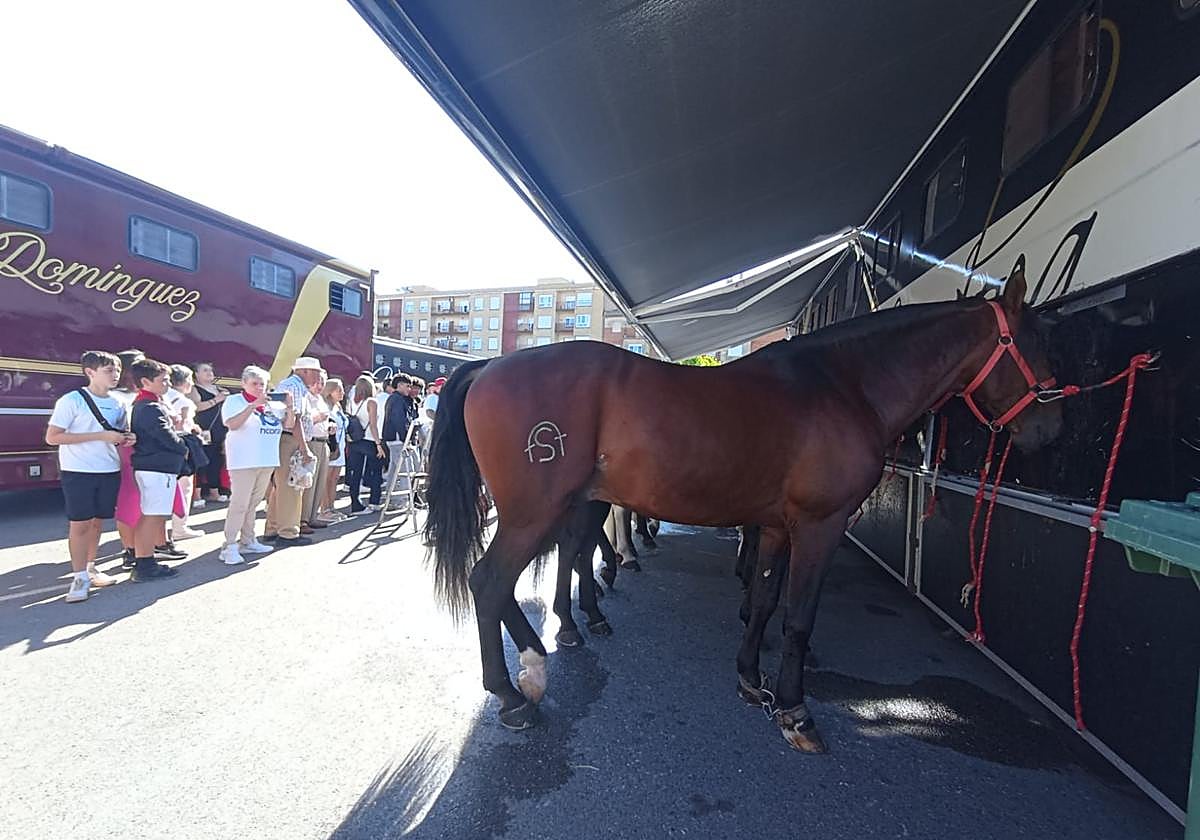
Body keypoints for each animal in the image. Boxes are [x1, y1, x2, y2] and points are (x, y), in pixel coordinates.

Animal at [424, 264, 1062, 749]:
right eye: (1035, 342)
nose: (1049, 428)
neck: (842, 385)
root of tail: (489, 365)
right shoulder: (820, 526)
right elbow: (798, 616)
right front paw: (796, 711)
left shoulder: (776, 528)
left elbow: (762, 601)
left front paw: (752, 681)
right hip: (534, 511)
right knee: (491, 581)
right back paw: (515, 691)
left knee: (525, 575)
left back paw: (543, 655)